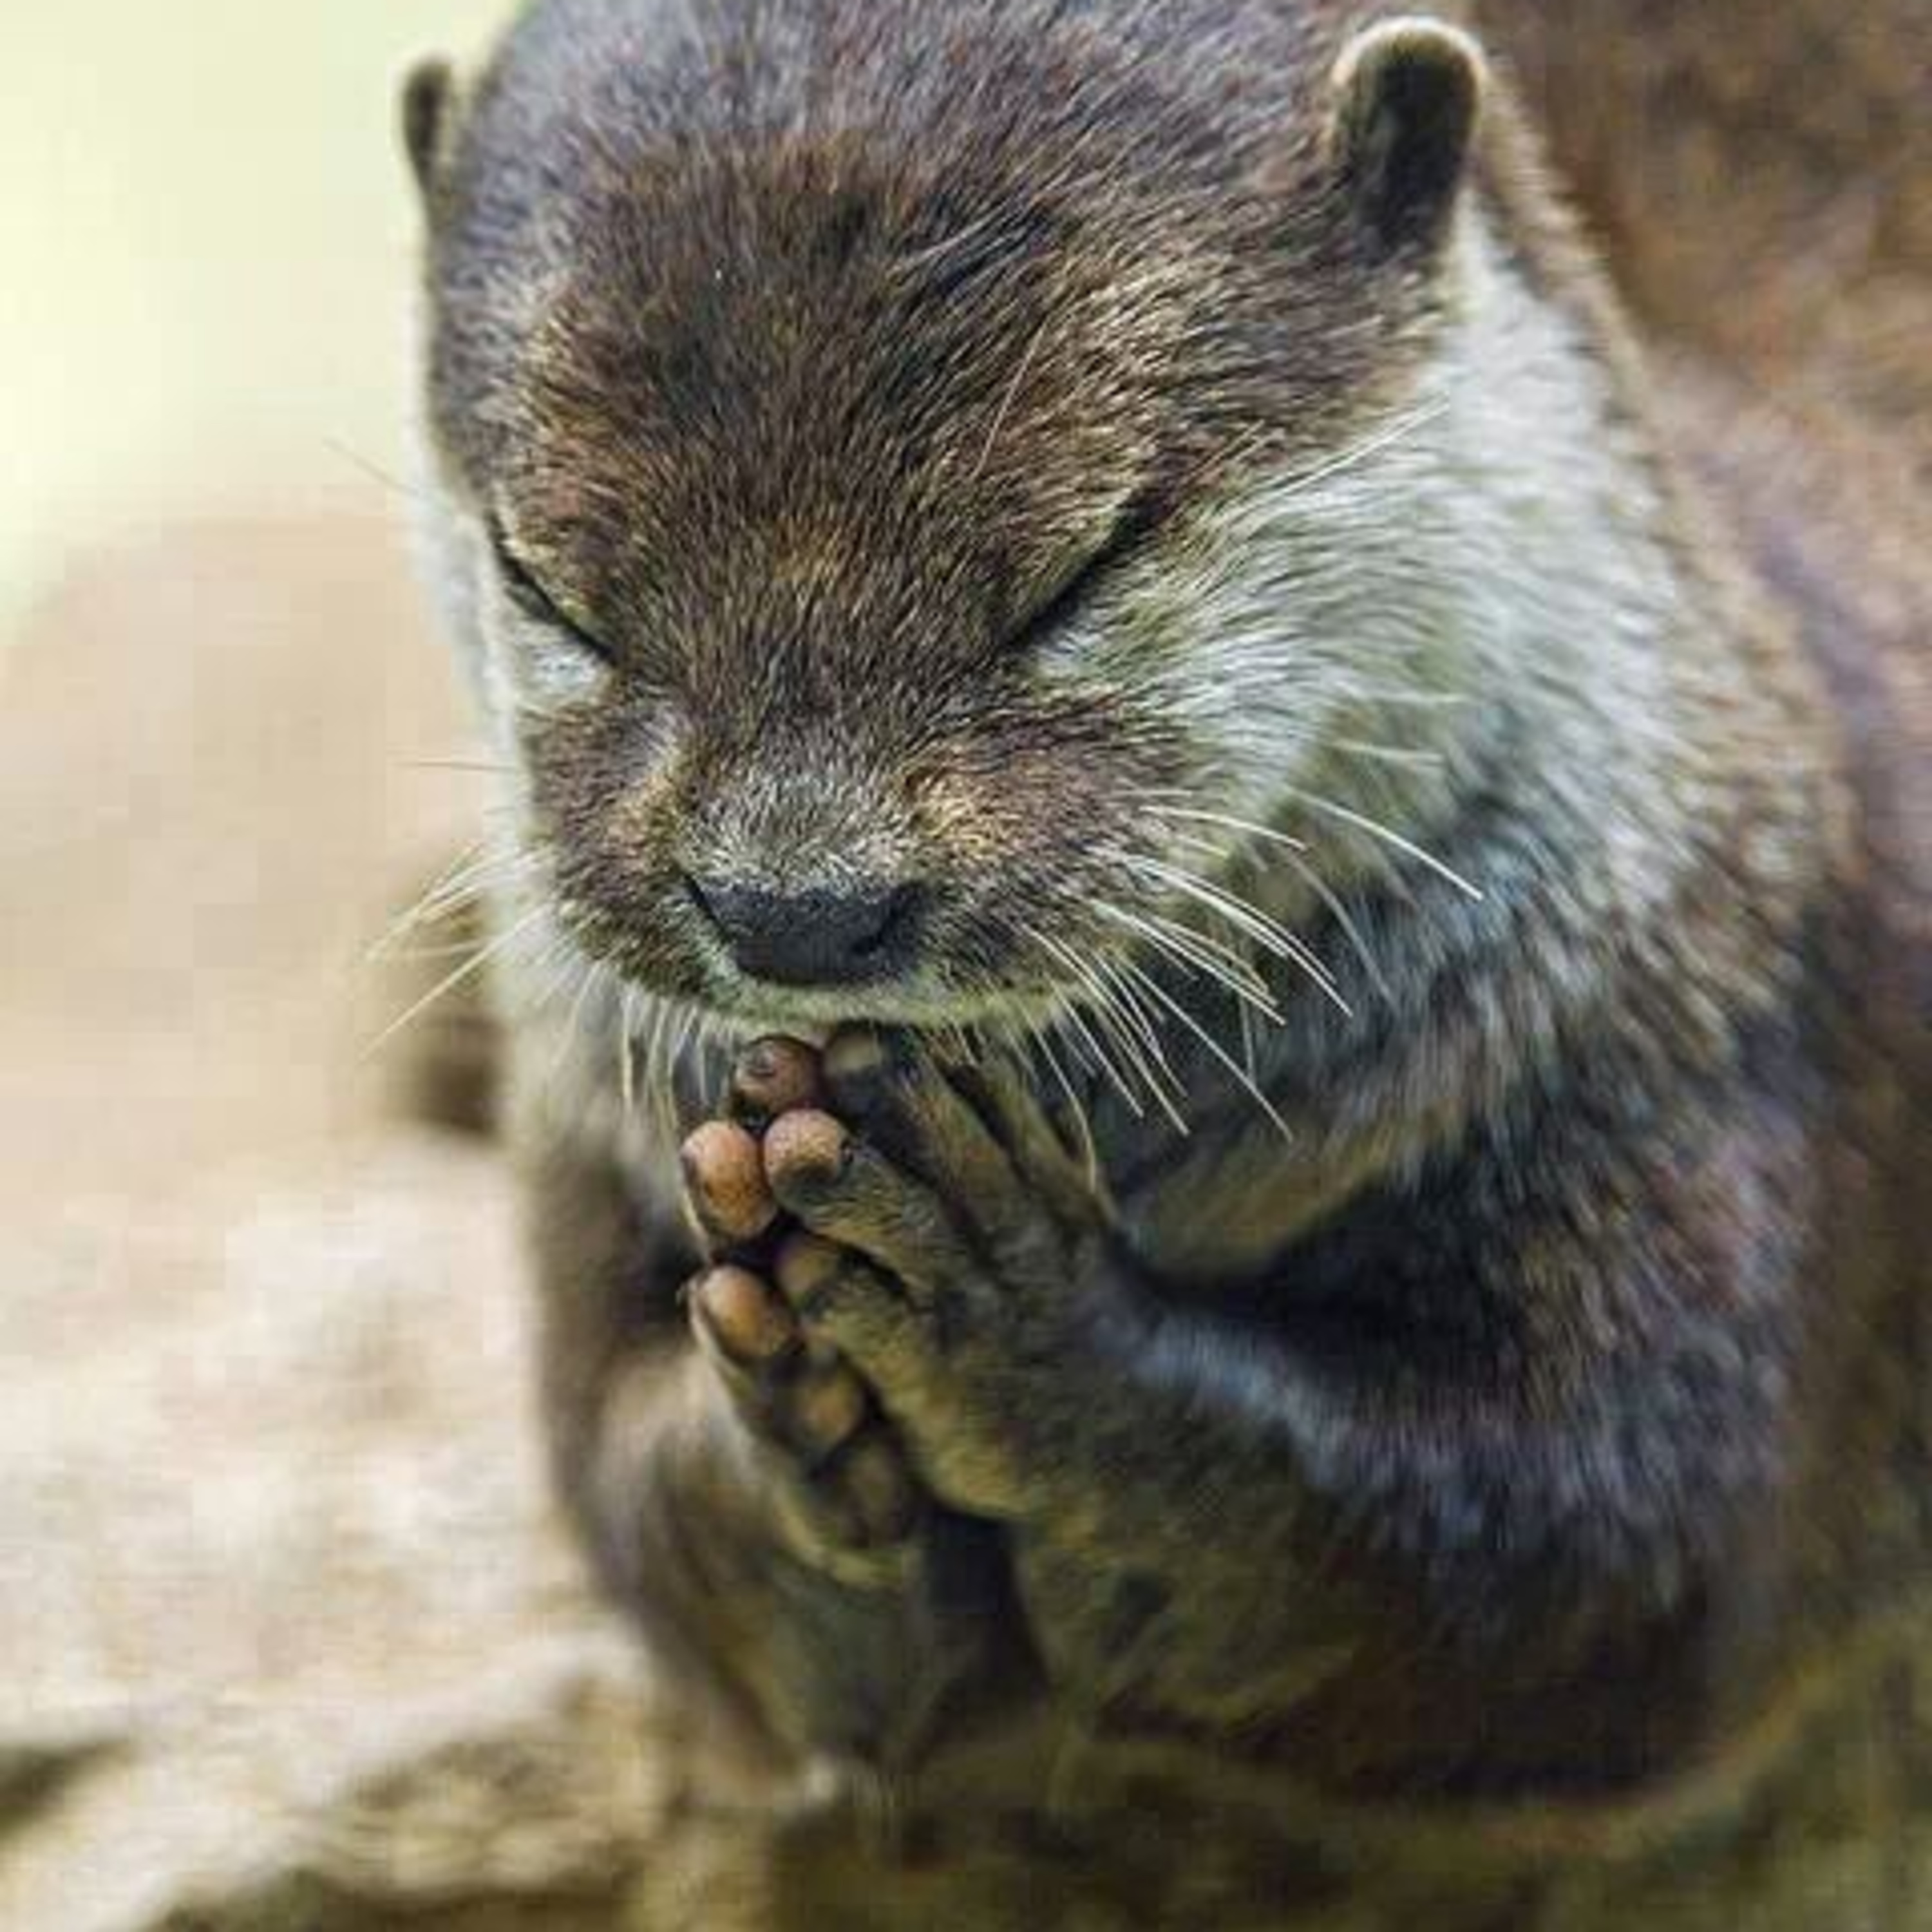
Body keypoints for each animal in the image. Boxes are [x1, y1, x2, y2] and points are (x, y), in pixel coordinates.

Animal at [402, 0, 1931, 1919]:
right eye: (551, 588)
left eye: (1078, 568)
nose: (795, 903)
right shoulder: (587, 1135)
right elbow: (642, 1507)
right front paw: (787, 1424)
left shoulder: (1726, 1030)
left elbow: (1598, 1564)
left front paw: (1008, 1316)